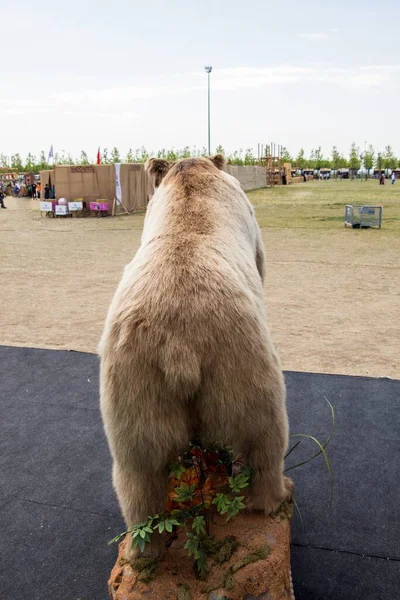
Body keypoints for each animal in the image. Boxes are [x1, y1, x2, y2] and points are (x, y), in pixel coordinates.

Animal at [97, 154, 290, 556]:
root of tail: (179, 344)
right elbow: (261, 260)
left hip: (135, 380)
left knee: (138, 470)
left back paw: (145, 546)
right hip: (239, 362)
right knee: (264, 433)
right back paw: (275, 497)